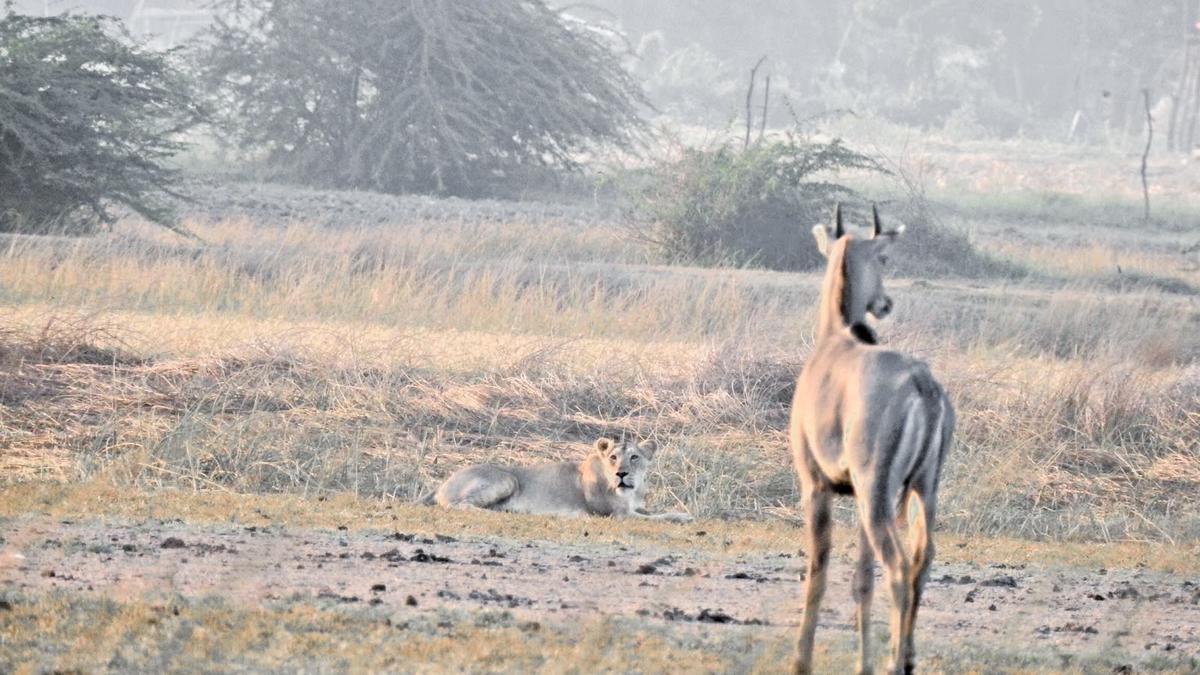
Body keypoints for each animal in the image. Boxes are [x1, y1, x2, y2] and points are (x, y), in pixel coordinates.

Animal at [420, 437, 692, 522]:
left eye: (634, 457)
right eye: (613, 457)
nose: (621, 474)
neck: (631, 492)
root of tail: (442, 483)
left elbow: (654, 511)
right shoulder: (618, 515)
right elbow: (659, 517)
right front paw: (684, 517)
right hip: (508, 479)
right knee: (459, 505)